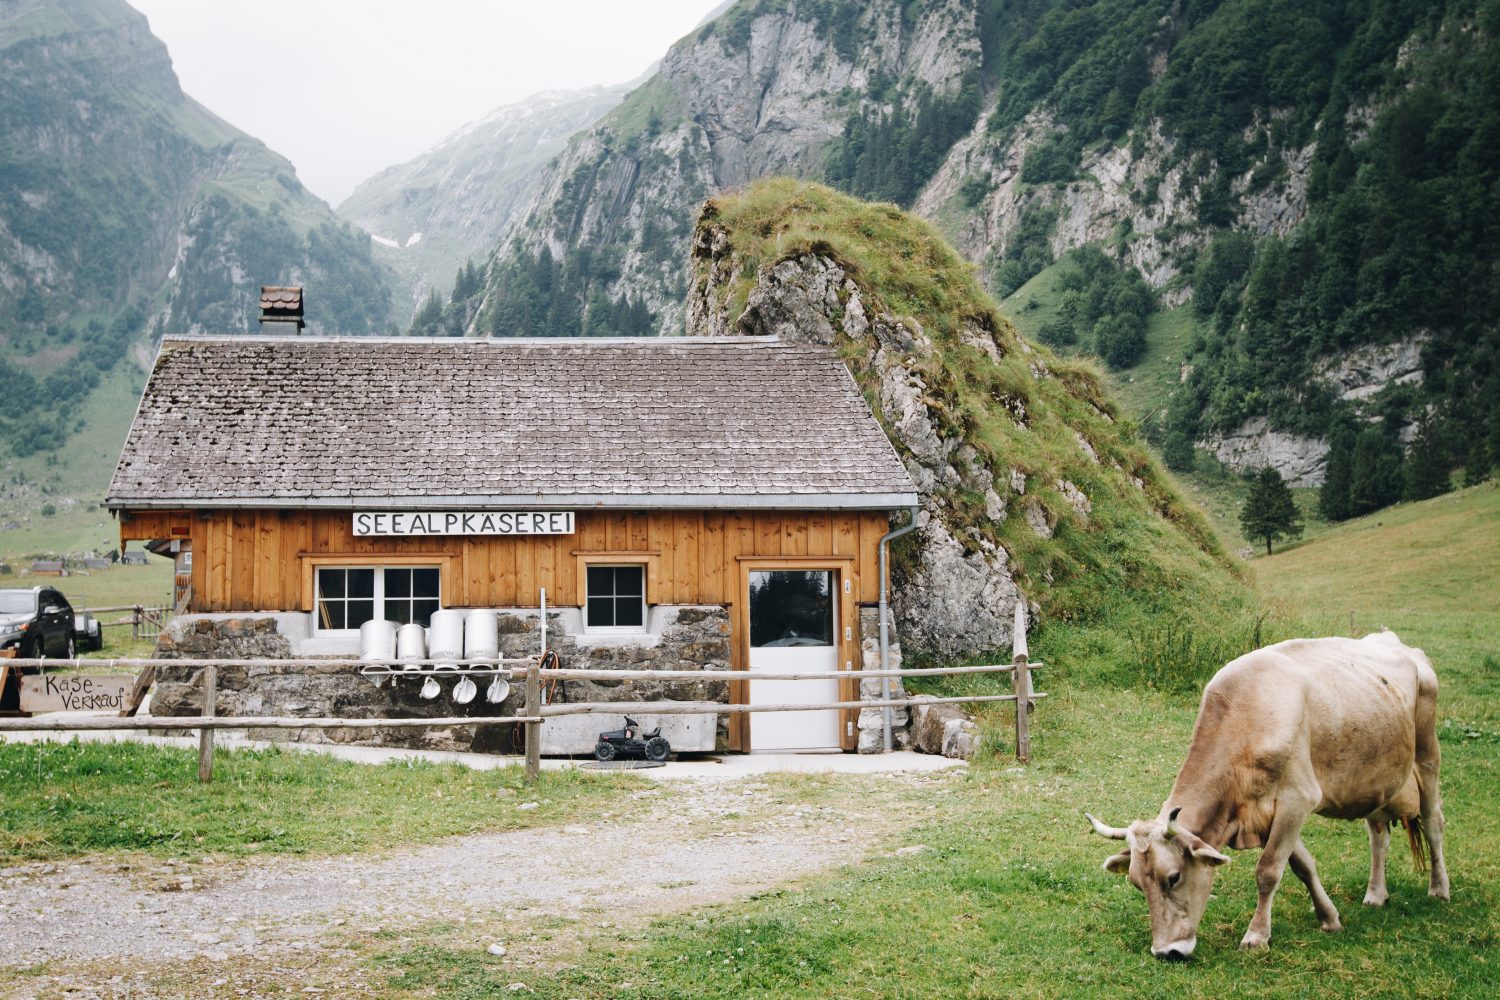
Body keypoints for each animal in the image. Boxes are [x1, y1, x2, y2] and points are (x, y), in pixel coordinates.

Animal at [1086, 632, 1446, 959]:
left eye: (1173, 878)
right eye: (1136, 883)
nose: (1166, 952)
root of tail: (1394, 641)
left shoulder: (1297, 800)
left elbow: (1269, 871)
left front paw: (1257, 936)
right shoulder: (1264, 814)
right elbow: (1303, 865)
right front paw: (1329, 917)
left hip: (1427, 755)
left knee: (1432, 823)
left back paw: (1439, 889)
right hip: (1377, 778)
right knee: (1378, 836)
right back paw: (1375, 894)